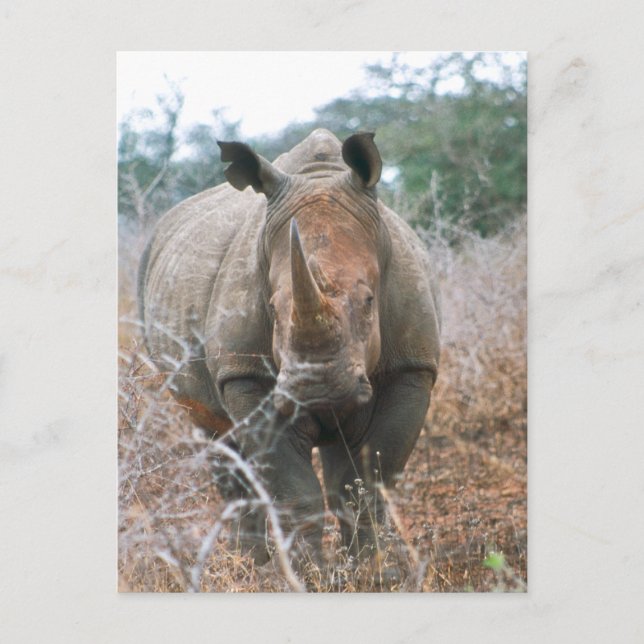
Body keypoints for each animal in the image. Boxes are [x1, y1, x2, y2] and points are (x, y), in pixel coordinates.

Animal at [138, 129, 440, 578]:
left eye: (369, 301)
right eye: (273, 308)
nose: (318, 389)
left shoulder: (411, 367)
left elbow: (369, 485)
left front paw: (374, 576)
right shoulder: (247, 375)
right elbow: (293, 489)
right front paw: (308, 578)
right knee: (220, 443)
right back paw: (249, 569)